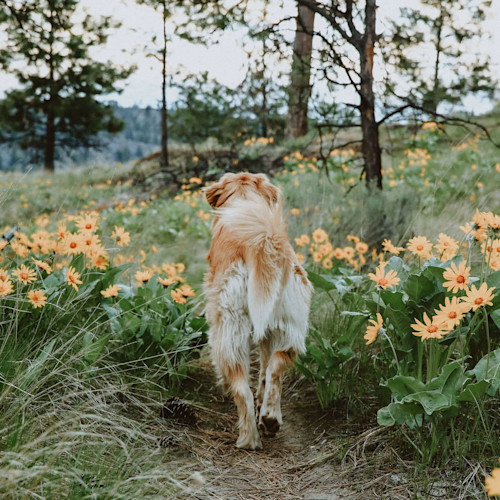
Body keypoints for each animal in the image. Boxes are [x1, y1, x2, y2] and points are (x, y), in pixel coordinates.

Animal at [202, 171, 310, 450]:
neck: (244, 199)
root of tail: (260, 242)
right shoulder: (269, 329)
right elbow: (264, 367)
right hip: (287, 323)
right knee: (275, 368)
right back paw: (270, 418)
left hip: (229, 326)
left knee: (242, 389)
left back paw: (248, 438)